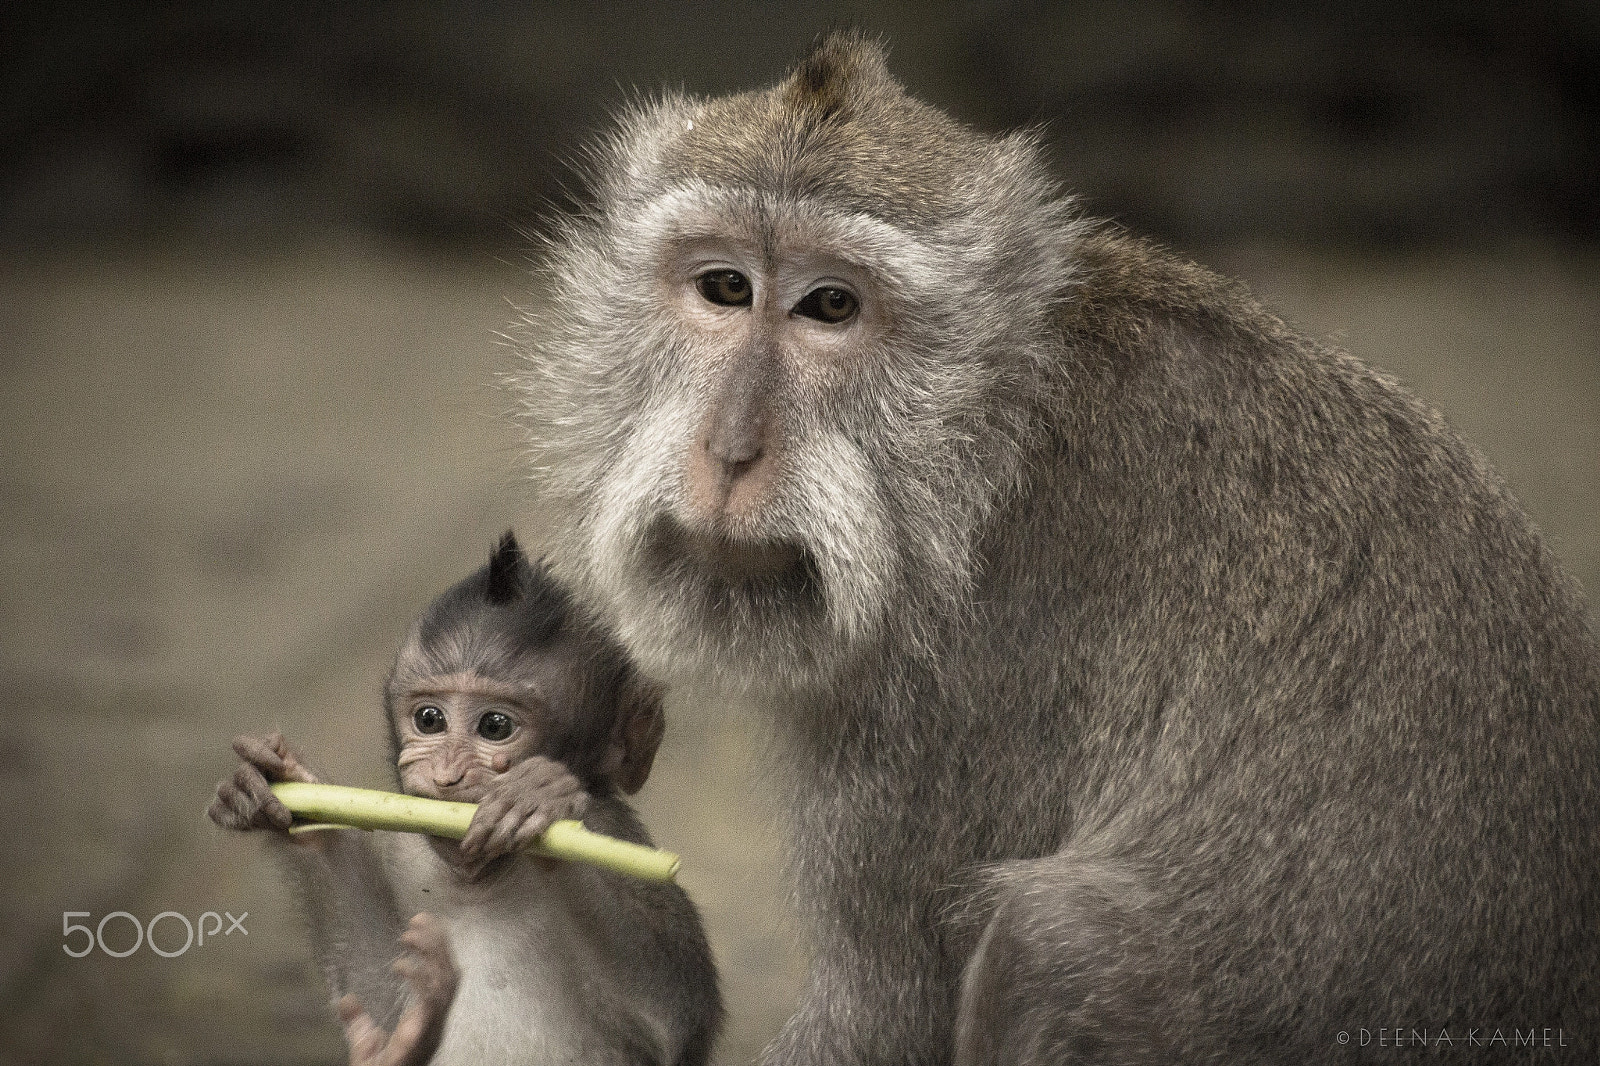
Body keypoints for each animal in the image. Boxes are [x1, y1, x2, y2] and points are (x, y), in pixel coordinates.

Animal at [208, 532, 722, 1066]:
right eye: (429, 719)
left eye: (495, 726)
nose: (446, 775)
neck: (482, 878)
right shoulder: (407, 848)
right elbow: (374, 1000)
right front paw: (284, 794)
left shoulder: (613, 829)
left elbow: (673, 1019)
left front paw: (538, 799)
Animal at [507, 29, 1600, 1066]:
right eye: (725, 286)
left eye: (831, 306)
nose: (731, 449)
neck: (986, 456)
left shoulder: (956, 695)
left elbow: (886, 1010)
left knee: (1050, 945)